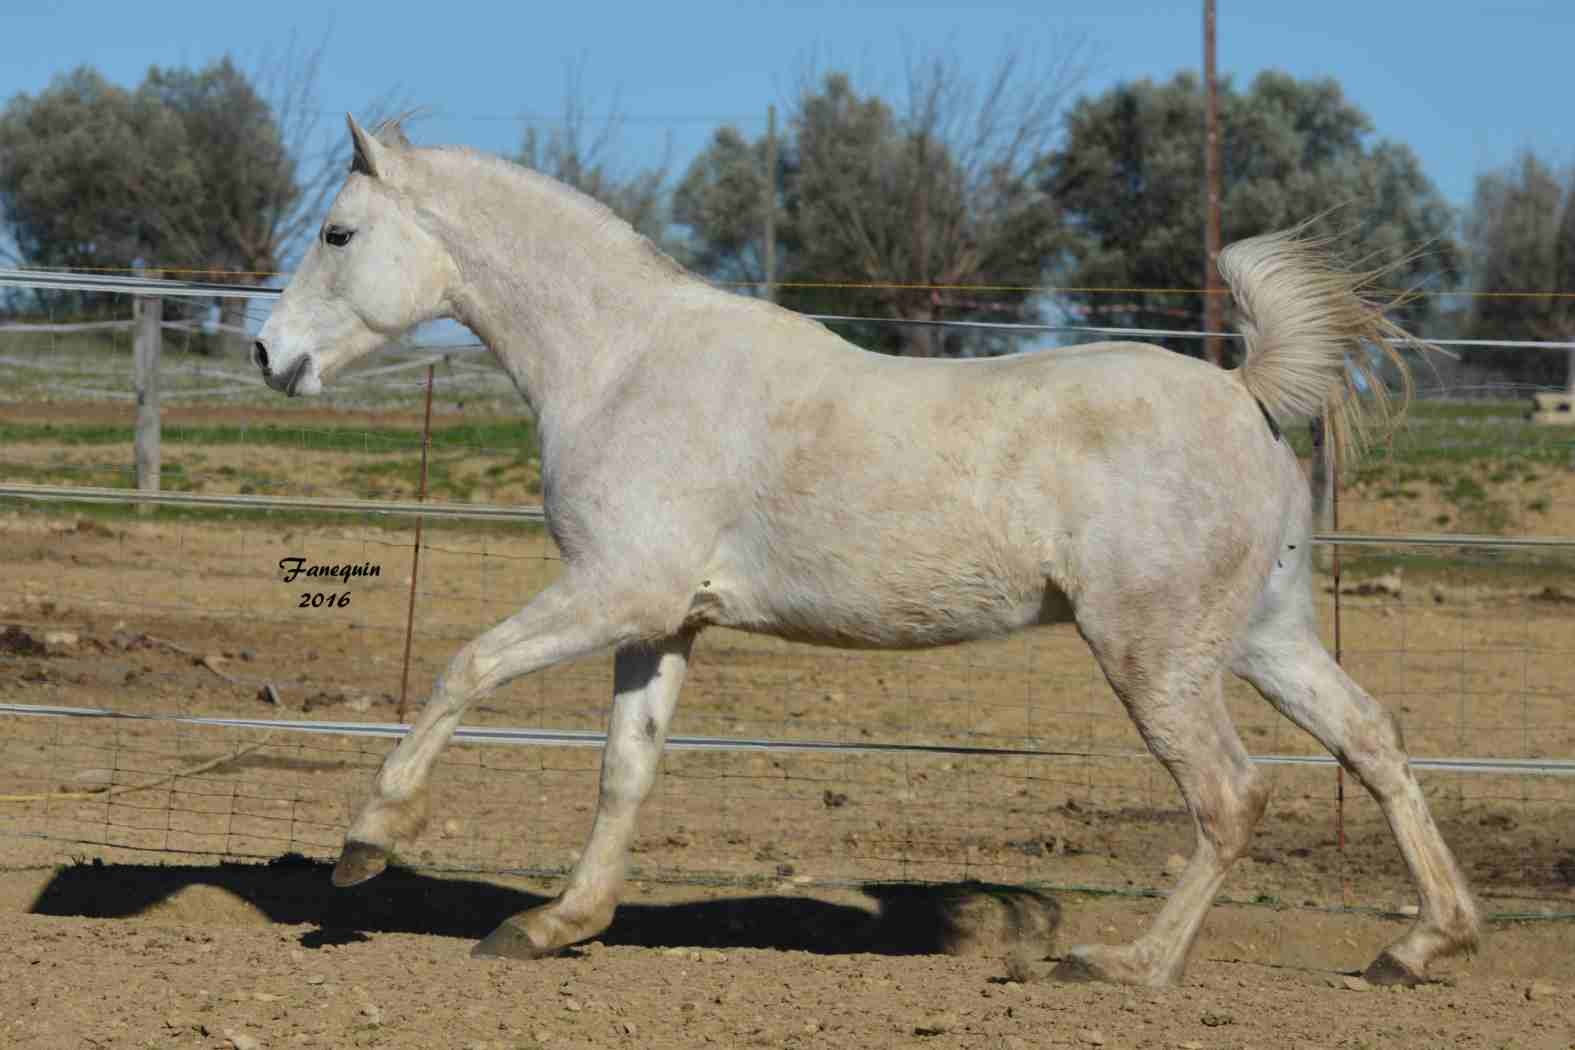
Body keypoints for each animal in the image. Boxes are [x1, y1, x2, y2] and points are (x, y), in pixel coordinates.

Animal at [252, 118, 1480, 988]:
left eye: (337, 234)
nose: (269, 355)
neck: (622, 363)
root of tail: (1244, 393)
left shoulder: (611, 592)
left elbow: (465, 668)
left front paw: (368, 843)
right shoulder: (663, 622)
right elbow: (624, 771)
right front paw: (556, 924)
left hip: (1157, 657)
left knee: (1231, 797)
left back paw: (1123, 966)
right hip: (1266, 640)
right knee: (1374, 745)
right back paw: (1421, 947)